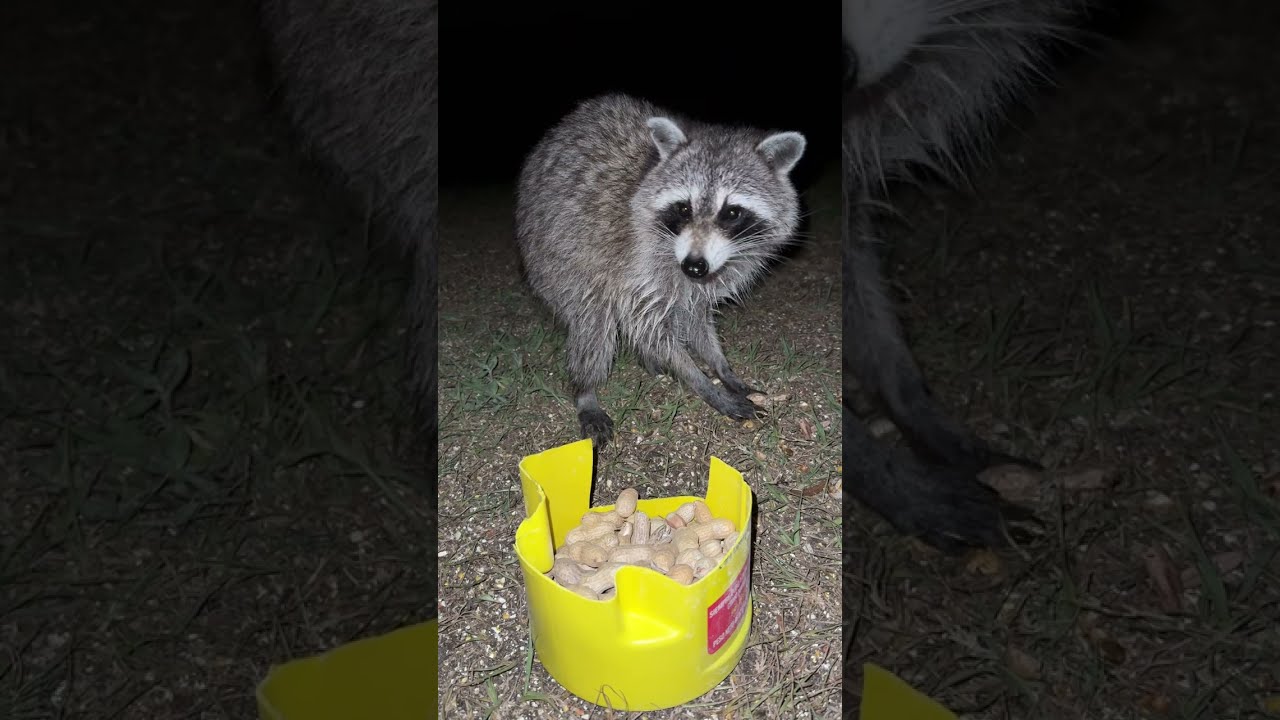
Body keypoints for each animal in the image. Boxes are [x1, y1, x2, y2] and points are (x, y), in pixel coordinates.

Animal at [515, 94, 806, 448]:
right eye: (683, 207)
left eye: (732, 212)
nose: (694, 266)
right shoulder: (638, 263)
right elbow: (648, 325)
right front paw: (702, 382)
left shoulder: (713, 274)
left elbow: (695, 317)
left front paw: (721, 368)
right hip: (556, 253)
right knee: (593, 318)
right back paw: (586, 389)